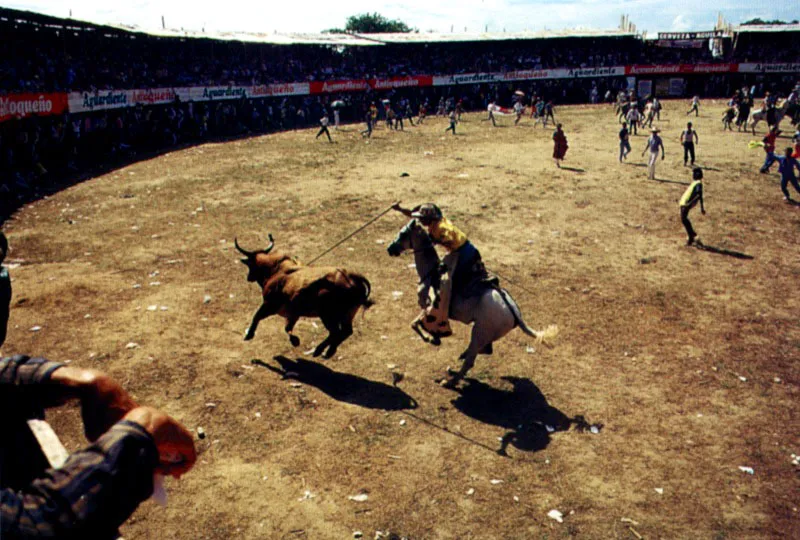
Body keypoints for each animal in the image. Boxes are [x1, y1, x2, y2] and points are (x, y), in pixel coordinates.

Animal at [236, 233, 374, 356]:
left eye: (250, 265)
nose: (248, 277)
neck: (276, 270)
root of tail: (352, 277)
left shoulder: (269, 305)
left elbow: (257, 316)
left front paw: (249, 335)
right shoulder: (293, 313)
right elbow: (287, 327)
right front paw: (294, 340)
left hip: (328, 315)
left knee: (336, 332)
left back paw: (319, 350)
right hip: (348, 314)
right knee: (346, 331)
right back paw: (328, 351)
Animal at [388, 219, 556, 388]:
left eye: (403, 233)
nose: (390, 249)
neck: (431, 271)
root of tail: (515, 313)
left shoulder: (427, 306)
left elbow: (415, 324)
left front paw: (432, 339)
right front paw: (433, 339)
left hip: (479, 333)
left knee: (471, 359)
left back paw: (450, 381)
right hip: (484, 334)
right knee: (483, 351)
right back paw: (459, 361)